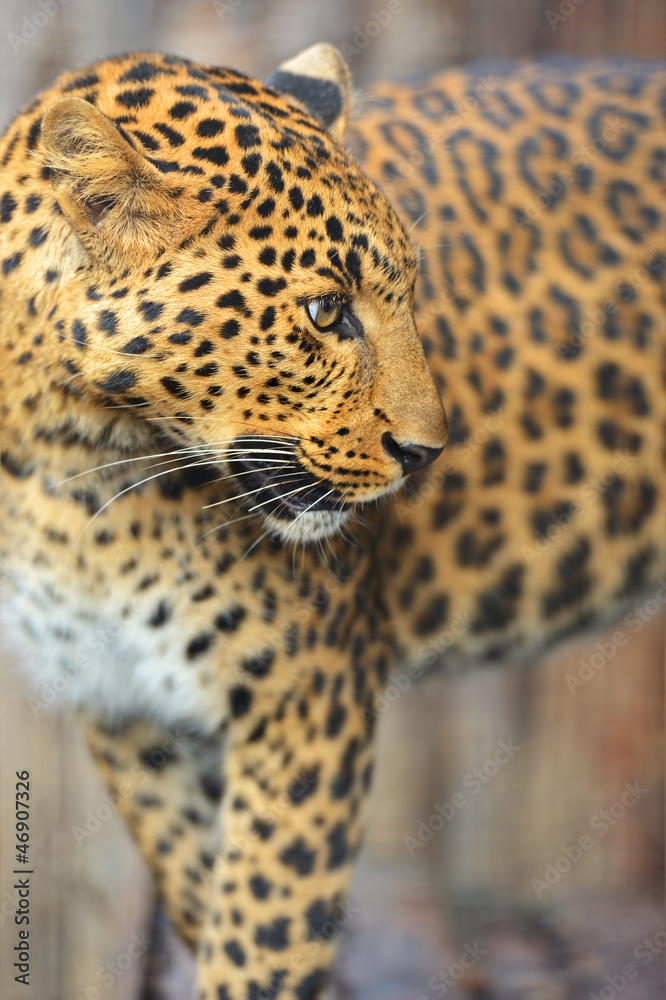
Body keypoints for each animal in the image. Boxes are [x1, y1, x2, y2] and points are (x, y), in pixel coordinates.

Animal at [0, 42, 664, 1000]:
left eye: (412, 295)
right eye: (325, 313)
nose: (427, 452)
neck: (72, 466)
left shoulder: (308, 698)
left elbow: (261, 928)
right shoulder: (125, 704)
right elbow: (208, 891)